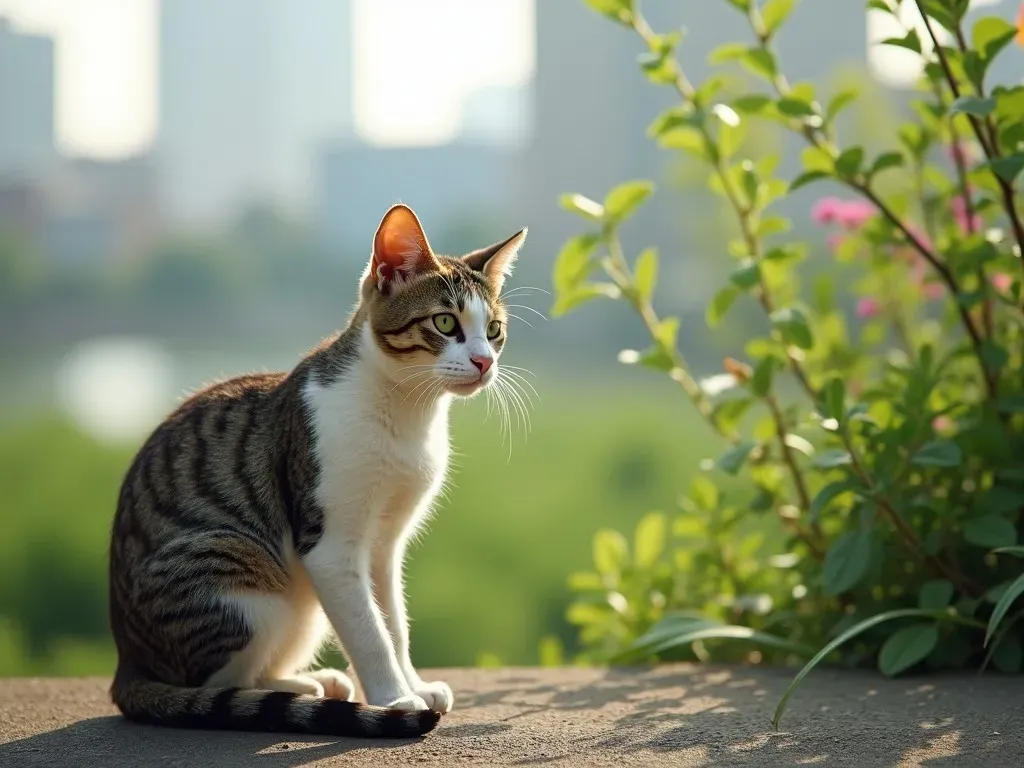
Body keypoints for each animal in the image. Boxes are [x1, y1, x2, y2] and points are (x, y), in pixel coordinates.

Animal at [108, 204, 528, 741]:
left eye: (493, 329)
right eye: (445, 322)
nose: (483, 361)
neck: (404, 414)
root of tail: (126, 661)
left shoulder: (385, 544)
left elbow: (394, 621)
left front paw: (412, 682)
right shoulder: (329, 546)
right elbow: (369, 631)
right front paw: (395, 699)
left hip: (299, 607)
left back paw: (311, 682)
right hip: (235, 565)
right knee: (214, 684)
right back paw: (293, 692)